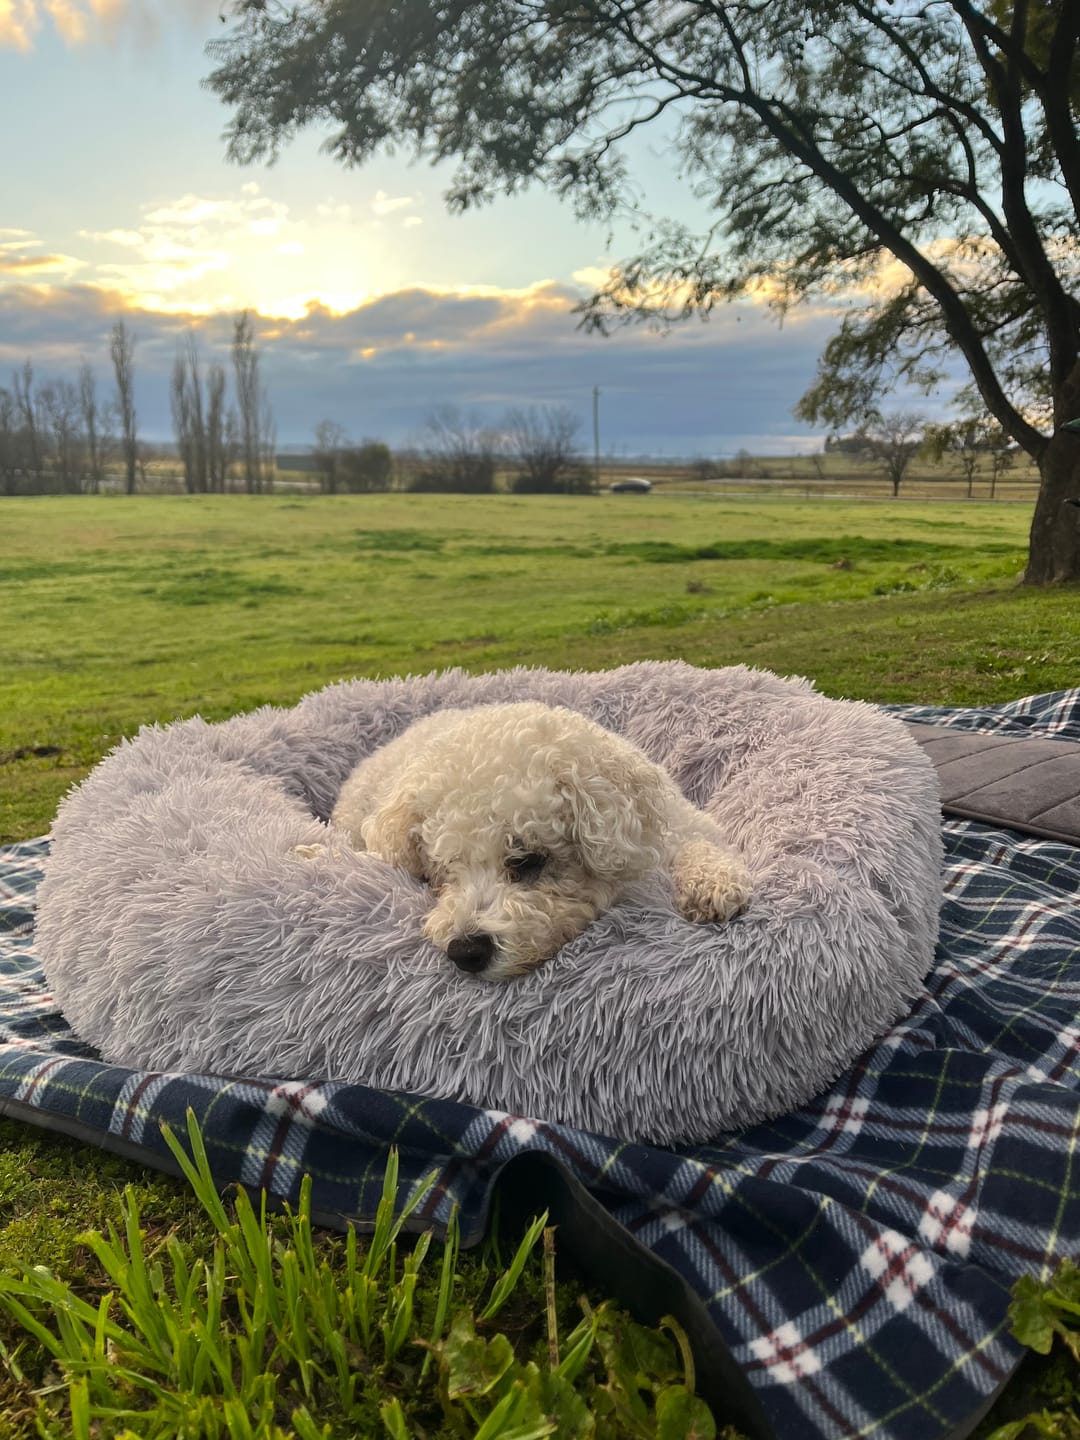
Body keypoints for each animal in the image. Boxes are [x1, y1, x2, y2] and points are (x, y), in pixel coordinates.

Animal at [329, 699, 754, 979]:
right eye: (441, 872)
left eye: (528, 860)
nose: (466, 952)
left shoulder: (683, 824)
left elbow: (697, 843)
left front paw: (712, 884)